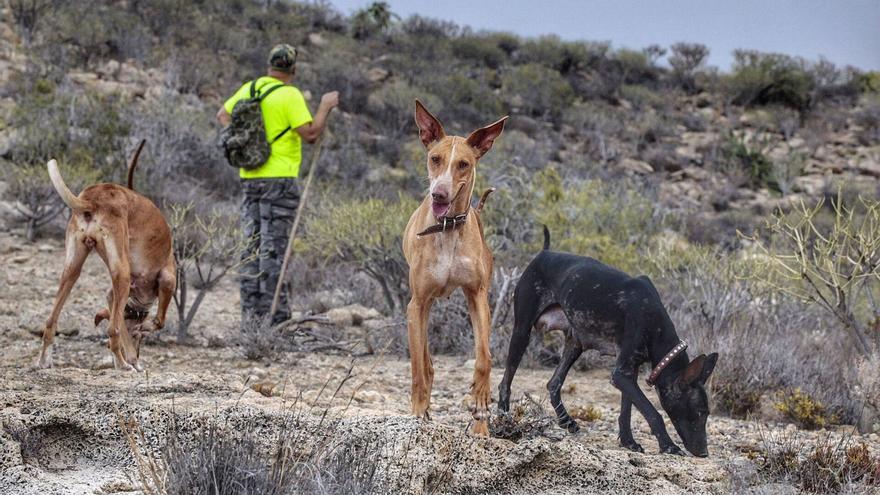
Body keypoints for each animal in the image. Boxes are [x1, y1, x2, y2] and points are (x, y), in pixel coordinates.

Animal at [36, 144, 175, 372]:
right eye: (140, 339)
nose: (137, 353)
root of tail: (92, 198)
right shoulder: (167, 280)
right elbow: (158, 321)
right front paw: (135, 350)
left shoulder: (113, 296)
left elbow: (120, 323)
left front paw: (133, 360)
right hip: (122, 275)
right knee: (112, 329)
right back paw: (121, 364)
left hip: (72, 269)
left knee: (51, 320)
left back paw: (44, 361)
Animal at [402, 101, 506, 438]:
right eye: (435, 159)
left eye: (463, 164)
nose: (439, 194)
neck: (446, 229)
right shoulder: (417, 304)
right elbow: (418, 372)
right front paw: (417, 415)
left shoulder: (478, 296)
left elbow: (484, 357)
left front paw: (481, 407)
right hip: (420, 309)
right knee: (425, 364)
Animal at [498, 229, 720, 458]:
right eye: (699, 413)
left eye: (706, 413)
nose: (704, 452)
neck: (653, 320)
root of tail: (543, 253)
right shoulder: (621, 374)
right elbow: (652, 412)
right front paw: (668, 445)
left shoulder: (629, 370)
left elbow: (627, 410)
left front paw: (628, 441)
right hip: (522, 332)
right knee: (505, 382)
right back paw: (504, 418)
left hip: (575, 344)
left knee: (553, 383)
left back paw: (566, 420)